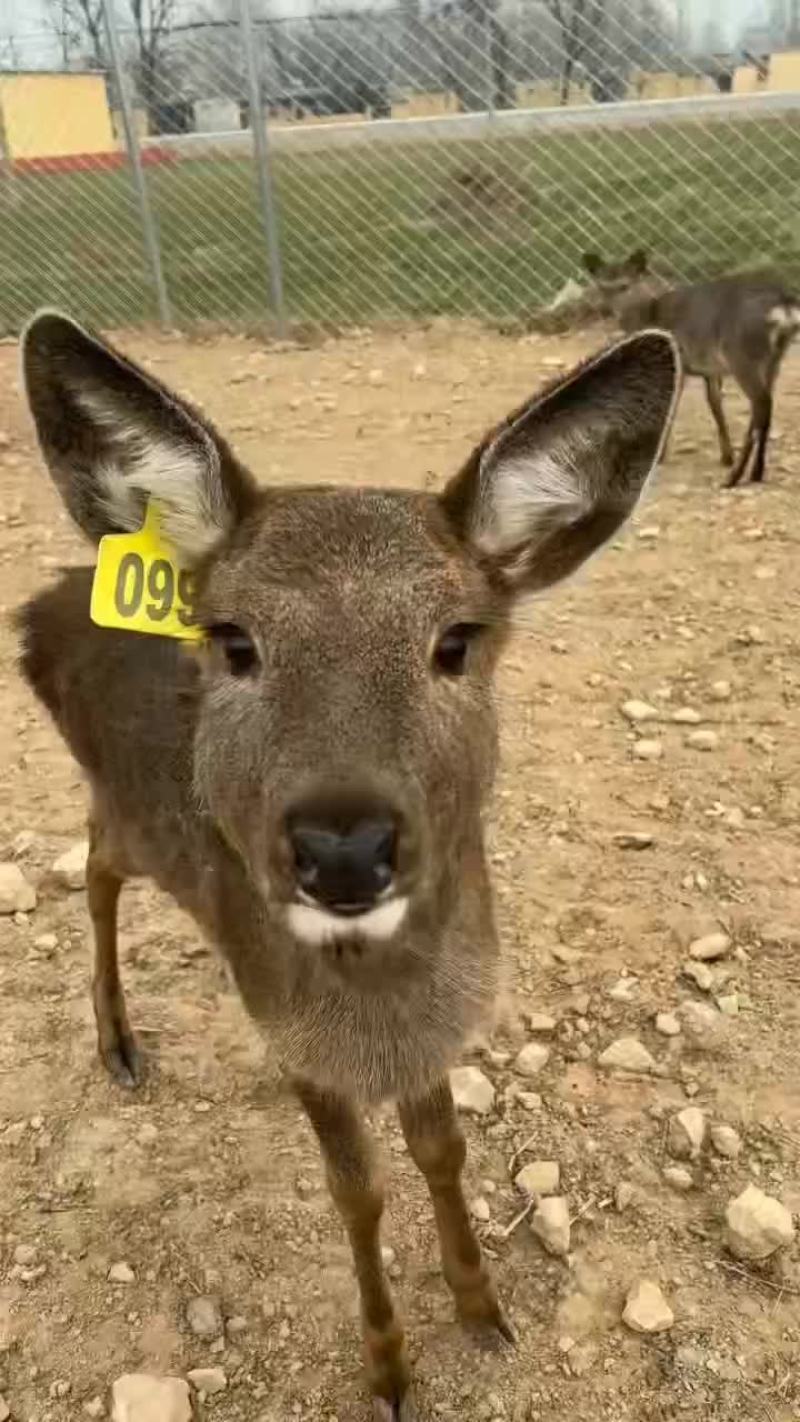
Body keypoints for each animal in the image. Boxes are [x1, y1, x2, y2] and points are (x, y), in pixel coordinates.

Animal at [16, 311, 679, 1420]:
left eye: (456, 641)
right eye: (233, 638)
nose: (342, 847)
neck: (381, 1015)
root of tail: (46, 601)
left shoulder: (433, 1040)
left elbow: (443, 1150)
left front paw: (482, 1309)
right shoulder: (294, 1040)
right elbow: (356, 1190)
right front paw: (389, 1367)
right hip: (131, 814)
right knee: (97, 866)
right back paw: (118, 1044)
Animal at [581, 249, 800, 487]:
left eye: (624, 285)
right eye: (601, 286)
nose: (606, 310)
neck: (649, 316)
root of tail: (785, 309)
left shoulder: (679, 360)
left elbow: (672, 405)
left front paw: (659, 456)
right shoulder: (710, 370)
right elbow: (715, 405)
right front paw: (726, 455)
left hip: (740, 354)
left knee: (761, 405)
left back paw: (735, 477)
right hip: (772, 359)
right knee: (763, 408)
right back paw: (753, 472)